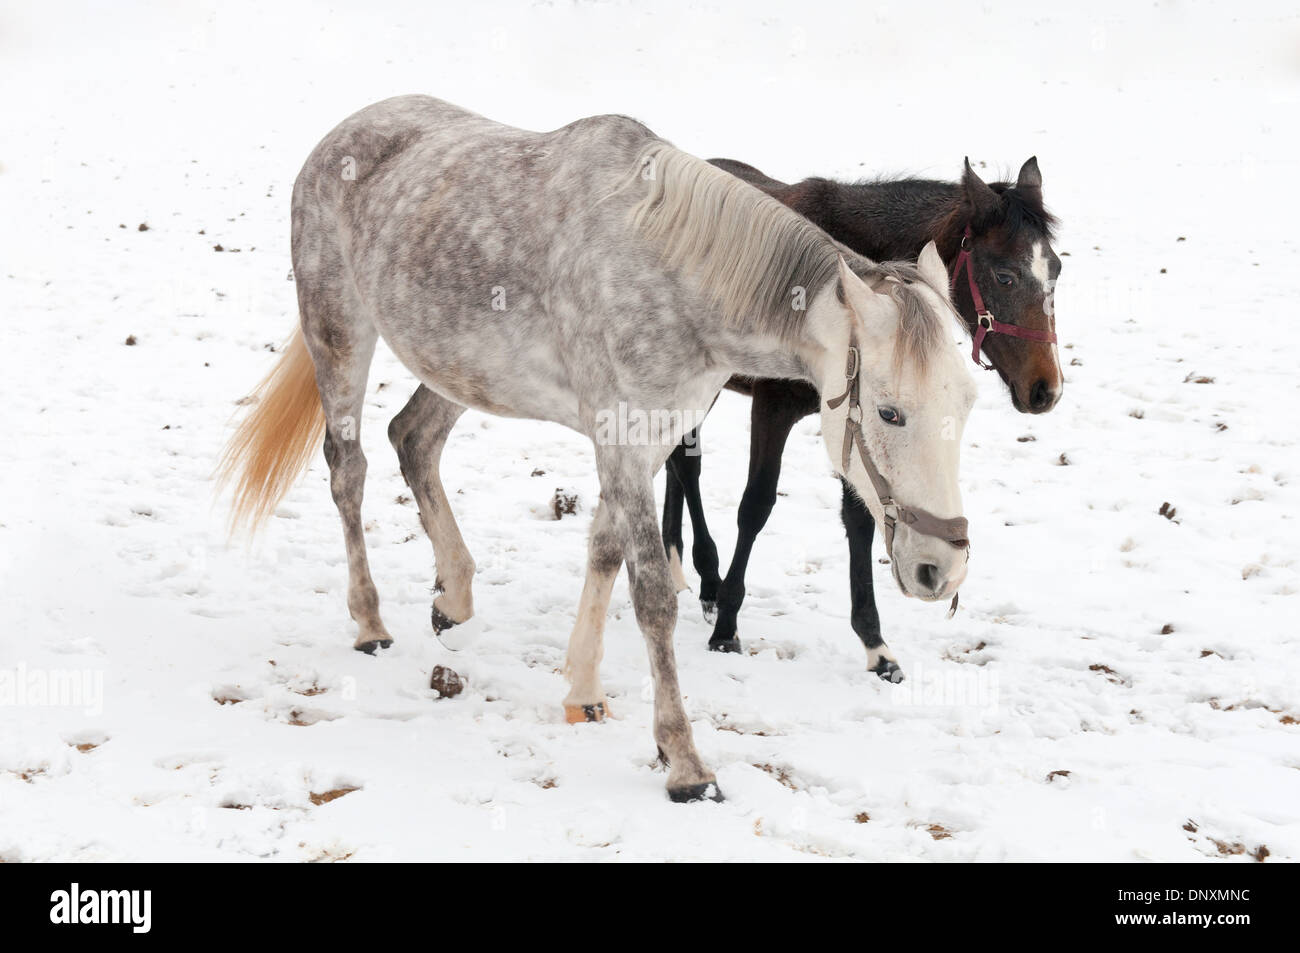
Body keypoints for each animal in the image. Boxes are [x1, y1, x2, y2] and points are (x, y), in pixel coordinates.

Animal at [217, 95, 976, 802]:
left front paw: (581, 688)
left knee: (414, 439)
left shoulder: (649, 438)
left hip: (460, 366)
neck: (675, 277)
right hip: (340, 331)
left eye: (967, 403)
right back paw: (370, 621)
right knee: (349, 470)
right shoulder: (623, 435)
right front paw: (683, 761)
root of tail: (346, 131)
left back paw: (453, 594)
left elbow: (605, 549)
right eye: (889, 410)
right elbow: (652, 595)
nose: (940, 569)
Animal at [661, 157, 1061, 679]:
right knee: (684, 465)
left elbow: (861, 520)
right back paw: (704, 575)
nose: (1045, 389)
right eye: (1005, 275)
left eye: (1056, 271)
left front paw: (875, 642)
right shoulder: (772, 408)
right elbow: (755, 506)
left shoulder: (856, 420)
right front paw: (727, 625)